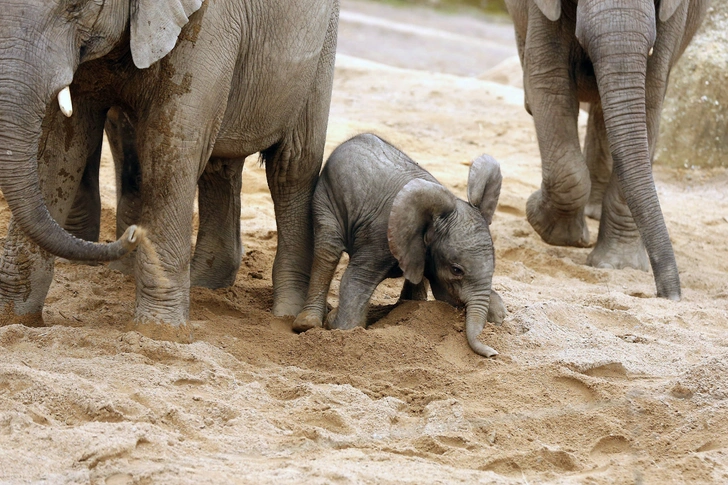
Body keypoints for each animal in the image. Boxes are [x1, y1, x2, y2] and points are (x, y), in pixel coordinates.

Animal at [0, 0, 342, 340]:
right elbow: (60, 145)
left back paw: (288, 316)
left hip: (322, 48)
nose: (133, 234)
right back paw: (205, 287)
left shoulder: (207, 25)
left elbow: (172, 144)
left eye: (75, 5)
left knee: (292, 167)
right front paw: (15, 320)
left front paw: (157, 331)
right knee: (220, 165)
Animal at [292, 132, 506, 356]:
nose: (493, 353)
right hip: (327, 198)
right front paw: (335, 323)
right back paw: (308, 323)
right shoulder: (380, 236)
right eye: (456, 270)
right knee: (328, 250)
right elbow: (356, 281)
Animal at [506, 0, 704, 298]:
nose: (669, 296)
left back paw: (594, 214)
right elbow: (550, 83)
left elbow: (651, 95)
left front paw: (618, 266)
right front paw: (550, 226)